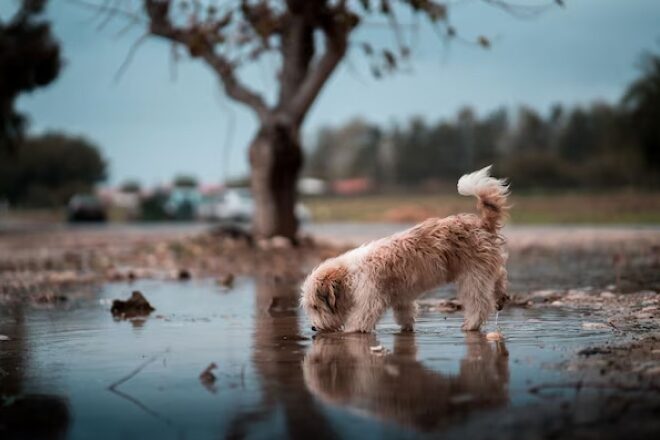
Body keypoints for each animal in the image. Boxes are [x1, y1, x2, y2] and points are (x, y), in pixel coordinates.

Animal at [300, 166, 510, 334]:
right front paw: (407, 328)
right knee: (500, 274)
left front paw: (351, 331)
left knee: (480, 303)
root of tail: (482, 224)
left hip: (473, 276)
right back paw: (501, 297)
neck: (349, 275)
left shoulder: (371, 298)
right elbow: (405, 313)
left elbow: (360, 318)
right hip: (484, 270)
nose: (313, 328)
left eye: (315, 306)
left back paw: (471, 324)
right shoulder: (402, 297)